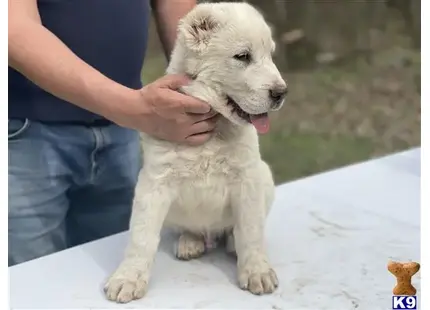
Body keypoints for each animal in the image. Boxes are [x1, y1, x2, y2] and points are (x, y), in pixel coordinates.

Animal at [102, 2, 288, 302]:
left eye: (269, 55)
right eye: (243, 56)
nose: (281, 93)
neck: (215, 128)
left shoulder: (247, 178)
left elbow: (251, 230)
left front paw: (257, 271)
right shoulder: (154, 184)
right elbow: (141, 236)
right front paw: (127, 278)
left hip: (264, 177)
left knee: (236, 229)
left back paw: (231, 242)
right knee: (191, 229)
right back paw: (191, 242)